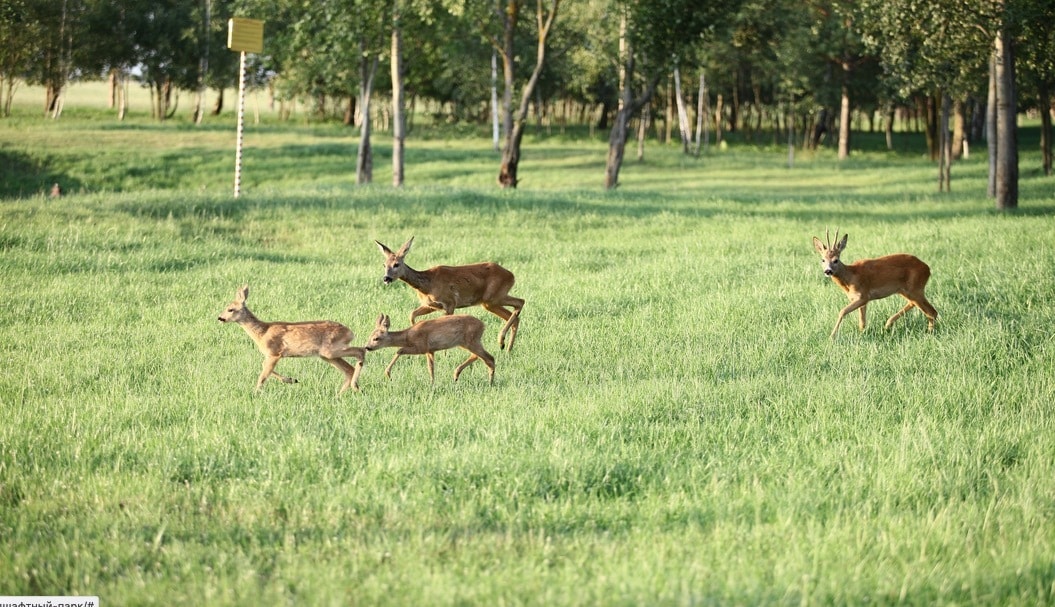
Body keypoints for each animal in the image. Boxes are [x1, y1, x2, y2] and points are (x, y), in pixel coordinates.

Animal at [216, 285, 365, 394]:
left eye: (230, 309)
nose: (220, 318)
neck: (262, 332)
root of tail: (350, 332)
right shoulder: (271, 355)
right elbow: (264, 367)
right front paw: (292, 380)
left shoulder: (274, 352)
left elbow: (263, 375)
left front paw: (256, 392)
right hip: (327, 355)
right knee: (349, 369)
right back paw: (341, 394)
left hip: (330, 350)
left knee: (360, 351)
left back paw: (354, 387)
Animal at [365, 312, 495, 384]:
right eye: (369, 336)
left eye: (376, 338)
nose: (367, 347)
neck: (408, 336)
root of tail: (483, 325)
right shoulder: (430, 350)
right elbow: (431, 368)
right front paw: (432, 383)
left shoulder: (421, 346)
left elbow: (399, 350)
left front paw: (388, 374)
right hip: (466, 342)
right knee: (478, 356)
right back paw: (456, 375)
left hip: (471, 340)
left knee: (489, 358)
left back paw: (490, 382)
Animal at [377, 237, 525, 350]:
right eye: (384, 264)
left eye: (396, 264)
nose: (386, 278)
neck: (427, 285)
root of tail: (511, 275)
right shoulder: (430, 305)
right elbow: (412, 314)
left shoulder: (450, 302)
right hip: (489, 302)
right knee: (515, 314)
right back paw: (507, 348)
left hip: (493, 297)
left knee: (520, 302)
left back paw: (501, 341)